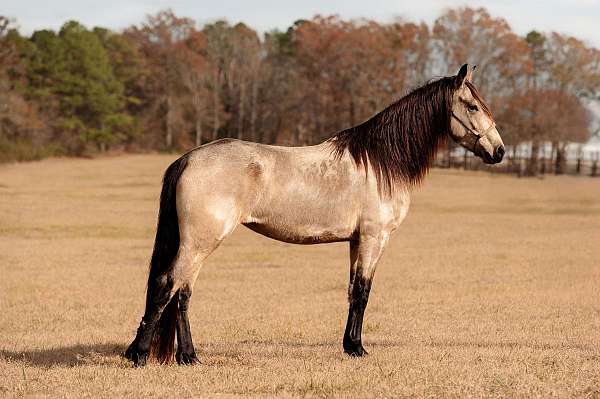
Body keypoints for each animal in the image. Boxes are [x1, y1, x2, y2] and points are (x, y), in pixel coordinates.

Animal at [124, 64, 504, 368]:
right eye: (472, 106)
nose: (499, 151)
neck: (379, 162)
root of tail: (189, 158)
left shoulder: (356, 241)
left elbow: (353, 290)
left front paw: (350, 345)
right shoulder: (374, 238)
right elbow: (363, 292)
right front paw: (358, 349)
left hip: (198, 244)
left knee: (182, 294)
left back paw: (188, 357)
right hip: (200, 242)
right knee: (167, 286)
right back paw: (140, 354)